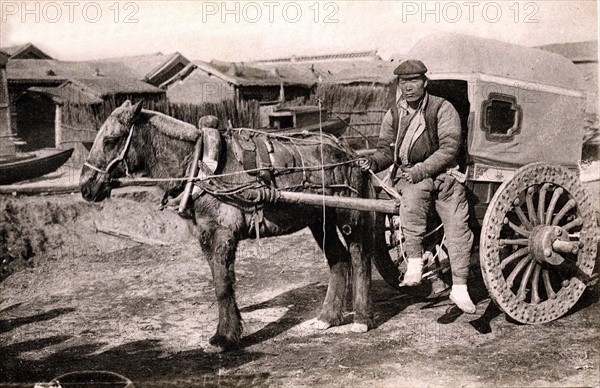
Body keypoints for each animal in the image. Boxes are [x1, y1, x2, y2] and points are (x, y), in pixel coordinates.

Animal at [79, 100, 384, 352]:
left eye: (111, 140)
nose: (85, 187)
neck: (200, 165)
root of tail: (348, 150)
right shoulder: (206, 236)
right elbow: (222, 282)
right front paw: (230, 332)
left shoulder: (220, 235)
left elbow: (222, 286)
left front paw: (223, 337)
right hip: (319, 219)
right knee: (338, 259)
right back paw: (327, 317)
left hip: (349, 215)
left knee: (359, 258)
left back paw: (361, 319)